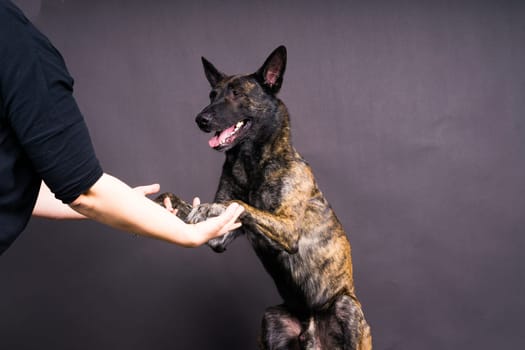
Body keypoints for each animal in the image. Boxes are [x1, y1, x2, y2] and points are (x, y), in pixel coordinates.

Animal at [155, 46, 368, 350]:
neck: (250, 162)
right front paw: (162, 202)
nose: (200, 120)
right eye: (212, 95)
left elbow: (237, 203)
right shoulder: (220, 238)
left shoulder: (288, 228)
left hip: (346, 306)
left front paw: (207, 208)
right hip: (271, 319)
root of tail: (311, 330)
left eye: (236, 94)